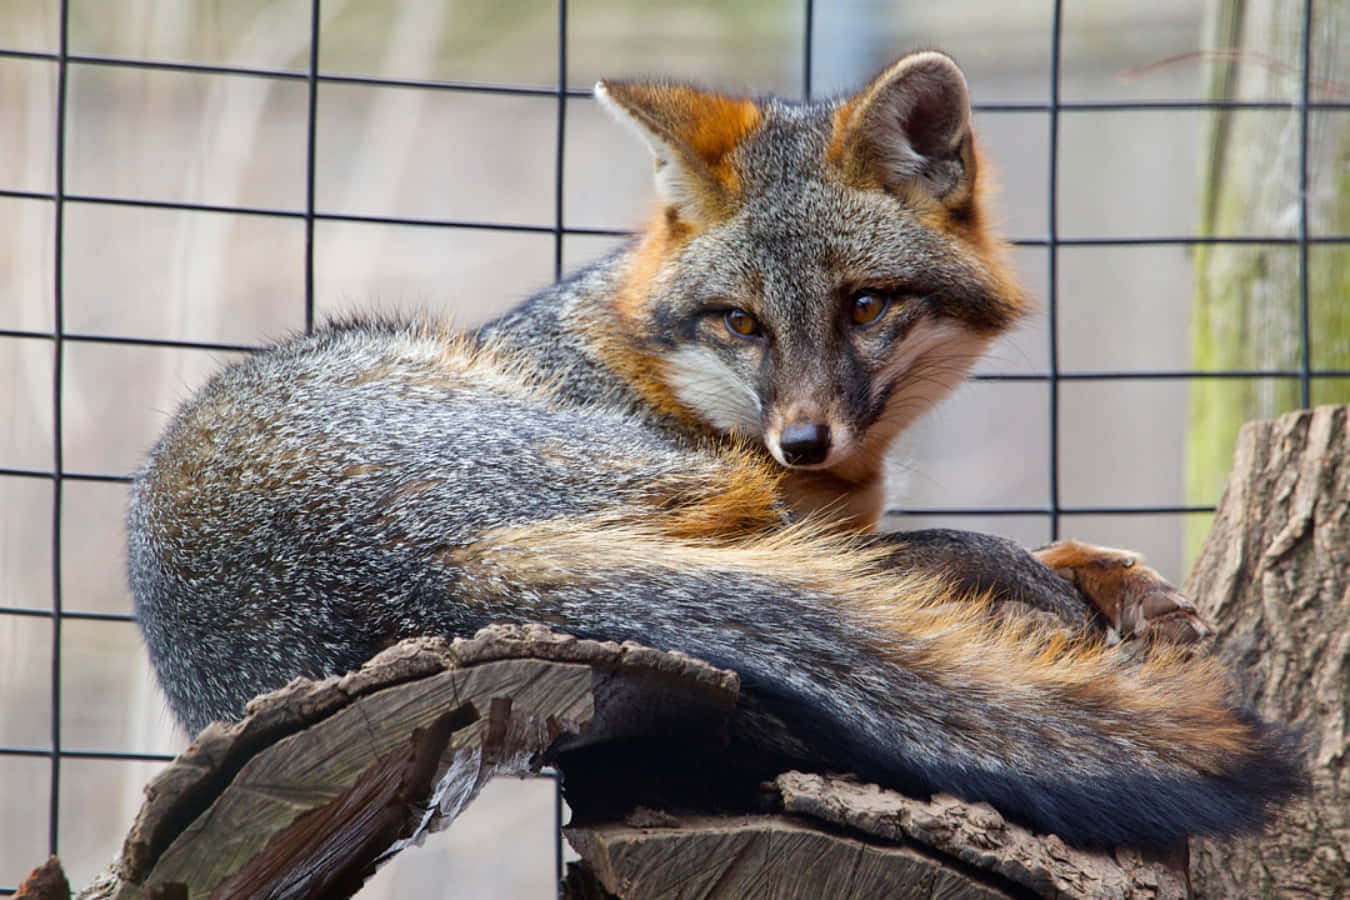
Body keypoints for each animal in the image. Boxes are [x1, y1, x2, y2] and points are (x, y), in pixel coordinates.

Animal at [127, 51, 1302, 848]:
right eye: (740, 322)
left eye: (866, 305)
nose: (801, 441)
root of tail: (433, 572)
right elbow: (920, 549)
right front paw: (1082, 573)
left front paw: (1117, 578)